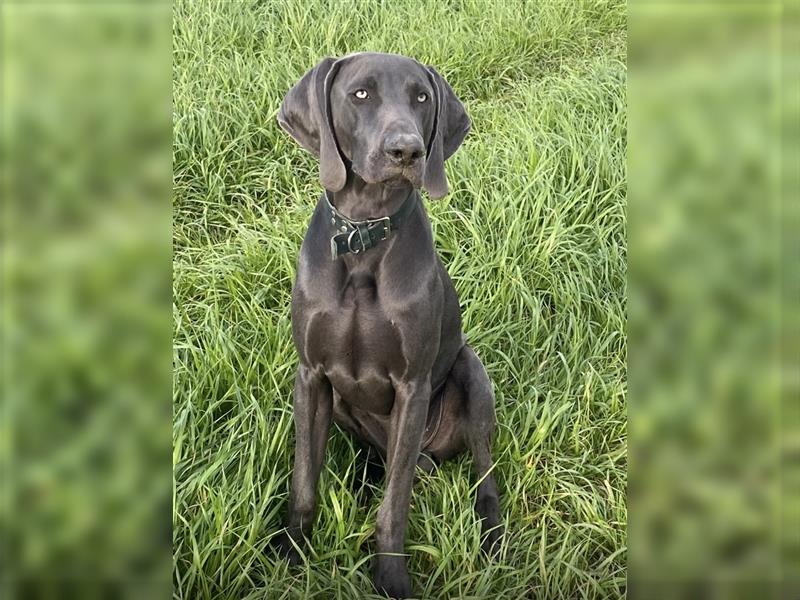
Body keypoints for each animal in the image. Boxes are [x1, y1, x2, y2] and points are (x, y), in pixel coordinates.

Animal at [276, 52, 500, 600]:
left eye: (421, 97)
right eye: (360, 94)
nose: (407, 150)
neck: (364, 235)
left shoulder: (412, 385)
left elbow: (394, 506)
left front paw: (391, 579)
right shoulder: (311, 376)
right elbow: (304, 483)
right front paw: (290, 555)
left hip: (471, 375)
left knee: (482, 469)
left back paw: (490, 530)